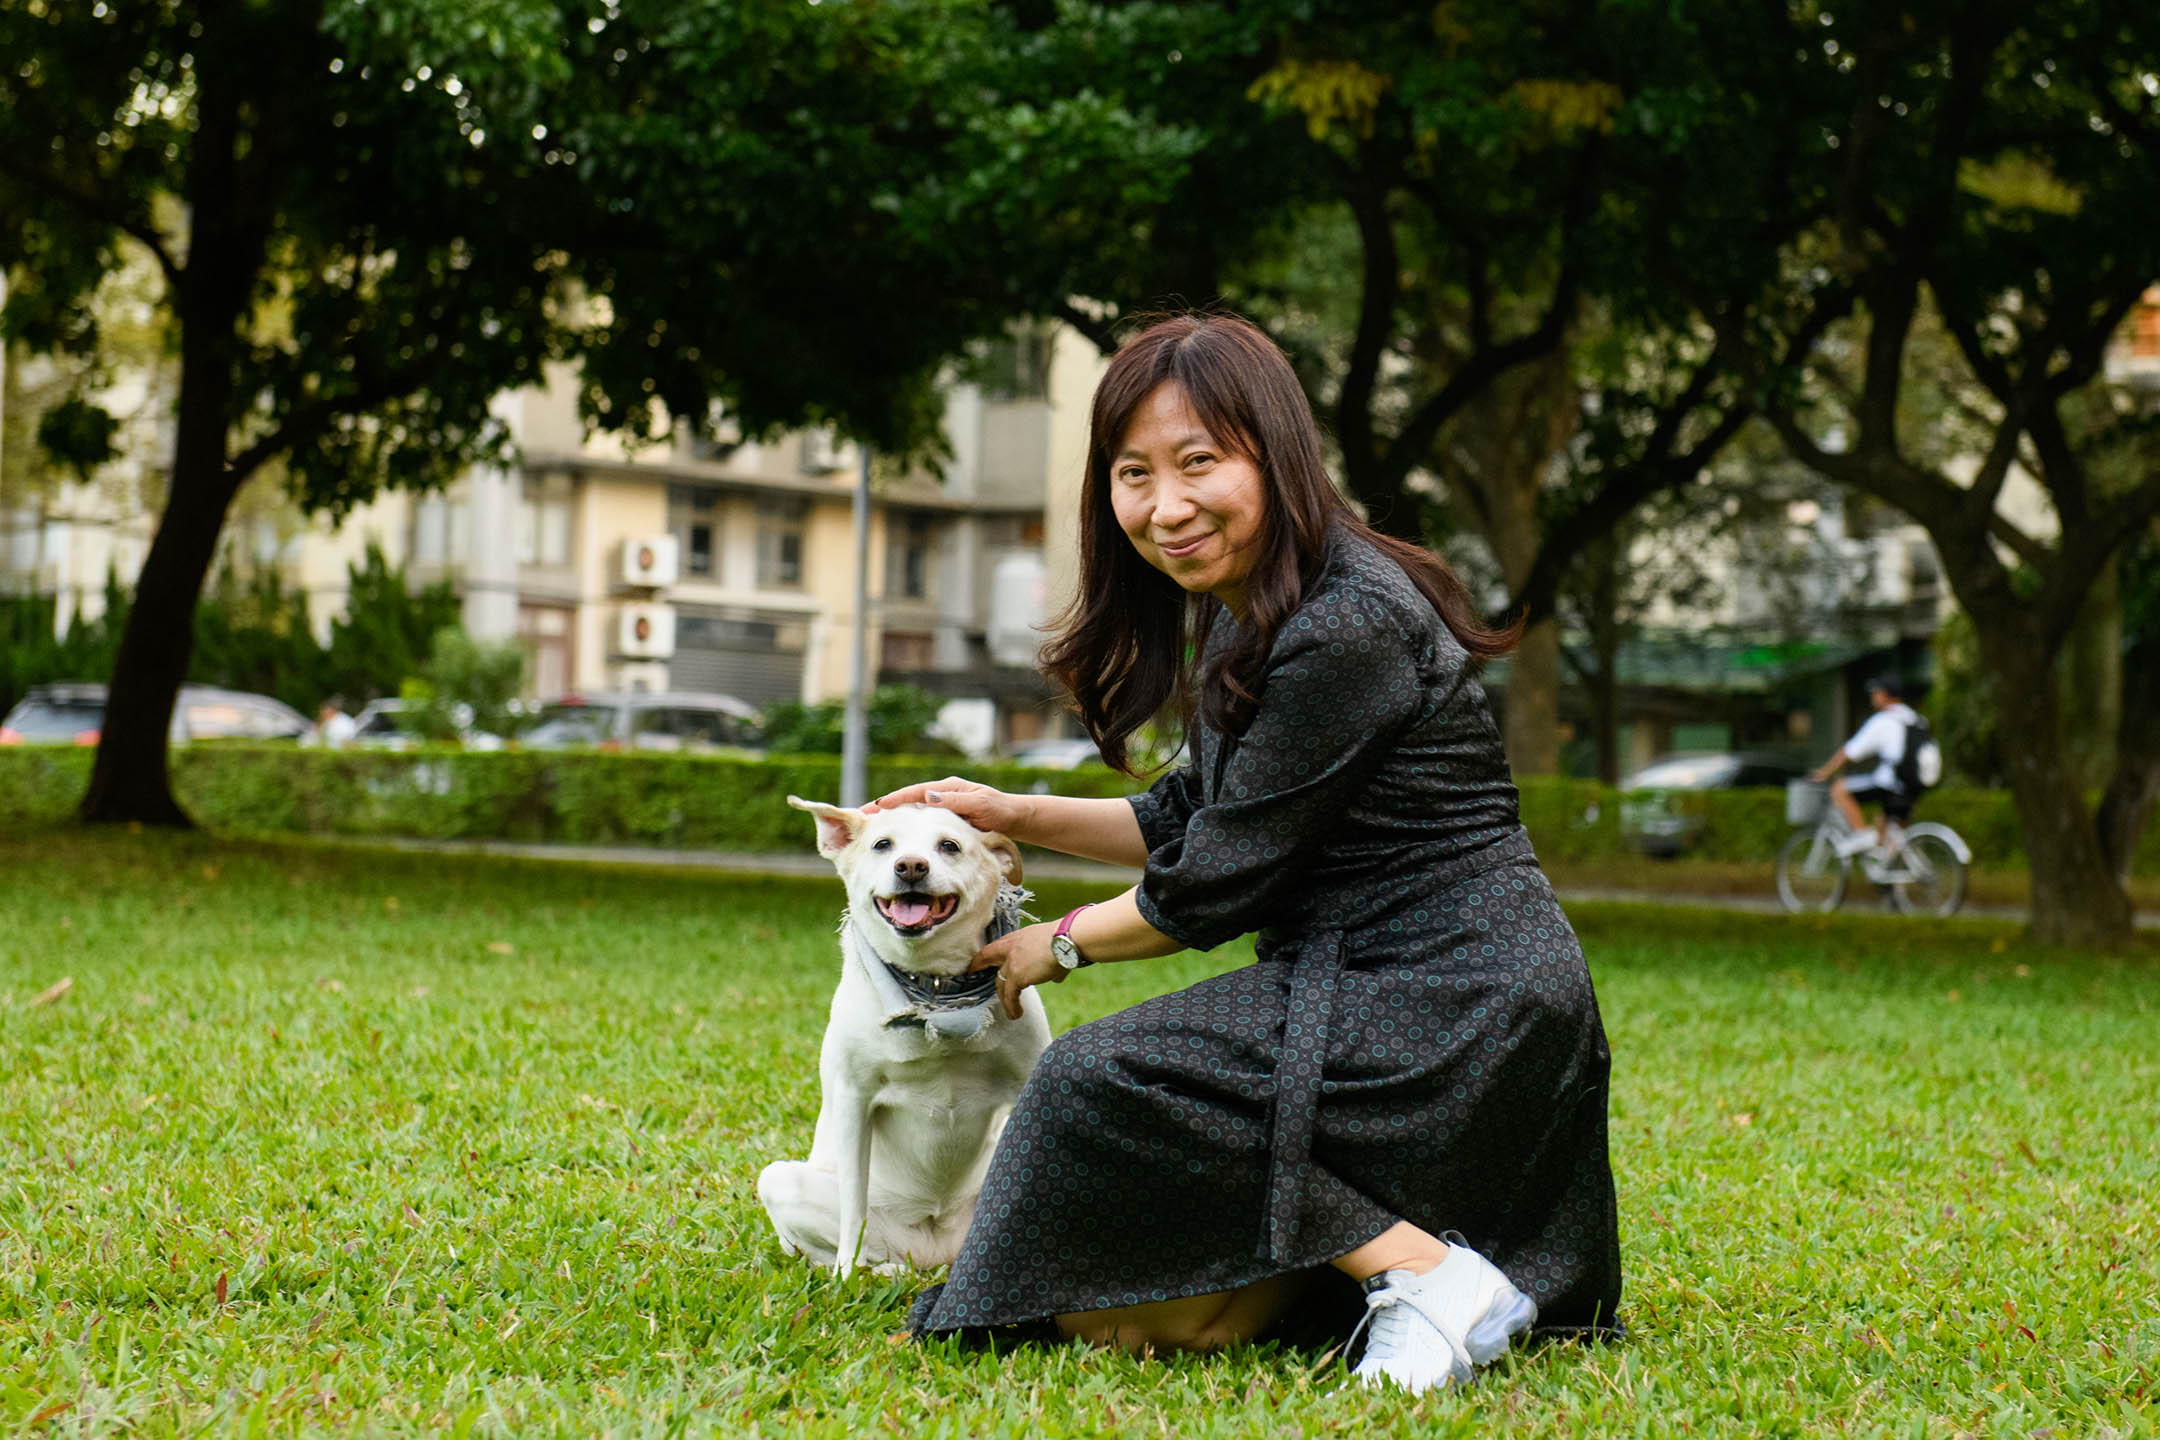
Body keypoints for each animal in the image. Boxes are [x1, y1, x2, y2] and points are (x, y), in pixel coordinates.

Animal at [760, 794, 1054, 1278]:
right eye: (883, 844)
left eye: (949, 845)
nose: (911, 866)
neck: (932, 988)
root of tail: (935, 1249)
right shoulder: (853, 1098)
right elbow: (852, 1206)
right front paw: (845, 1276)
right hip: (779, 1181)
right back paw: (874, 1271)